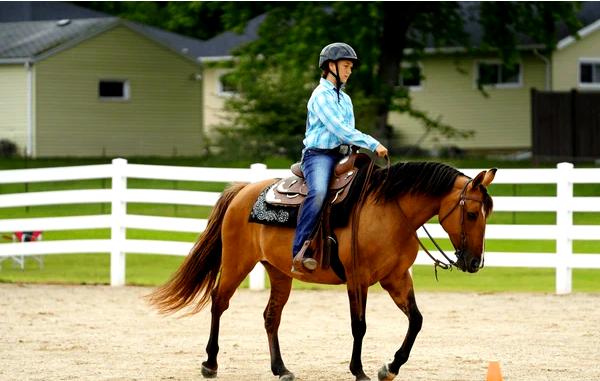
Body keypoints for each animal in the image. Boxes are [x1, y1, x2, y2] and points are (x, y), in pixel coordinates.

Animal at [148, 161, 494, 380]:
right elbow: (359, 326)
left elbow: (417, 320)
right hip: (236, 262)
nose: (474, 263)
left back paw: (281, 370)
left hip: (279, 272)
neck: (391, 212)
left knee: (271, 316)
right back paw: (210, 363)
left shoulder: (395, 278)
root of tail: (243, 190)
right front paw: (359, 371)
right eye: (472, 213)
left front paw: (391, 367)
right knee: (219, 303)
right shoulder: (357, 279)